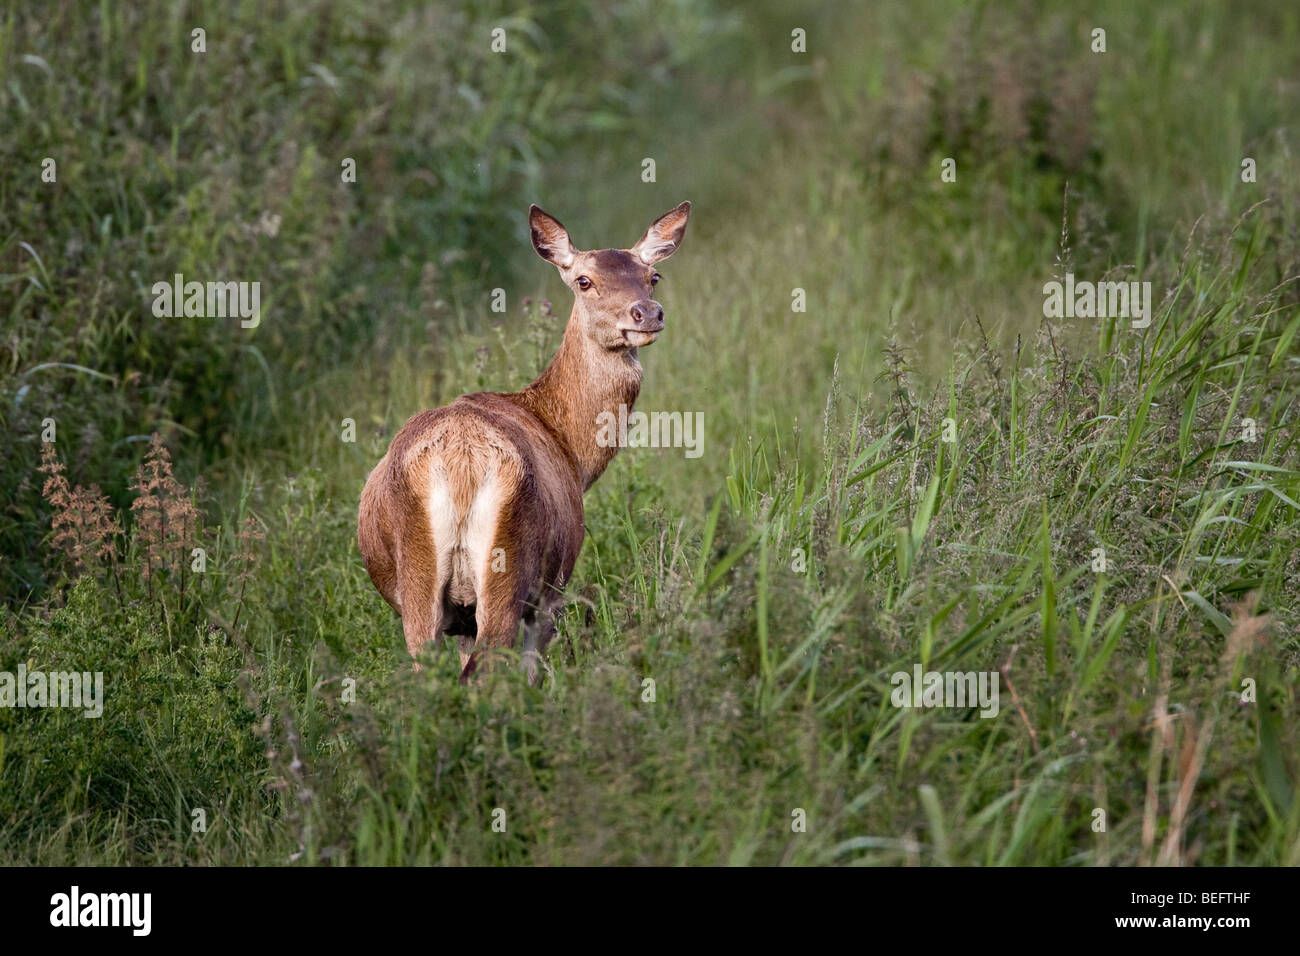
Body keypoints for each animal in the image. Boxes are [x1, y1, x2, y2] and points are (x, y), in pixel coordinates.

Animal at [356, 200, 691, 681]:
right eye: (584, 280)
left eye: (653, 276)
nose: (646, 312)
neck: (569, 450)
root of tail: (462, 462)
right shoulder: (553, 588)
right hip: (508, 565)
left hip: (423, 585)